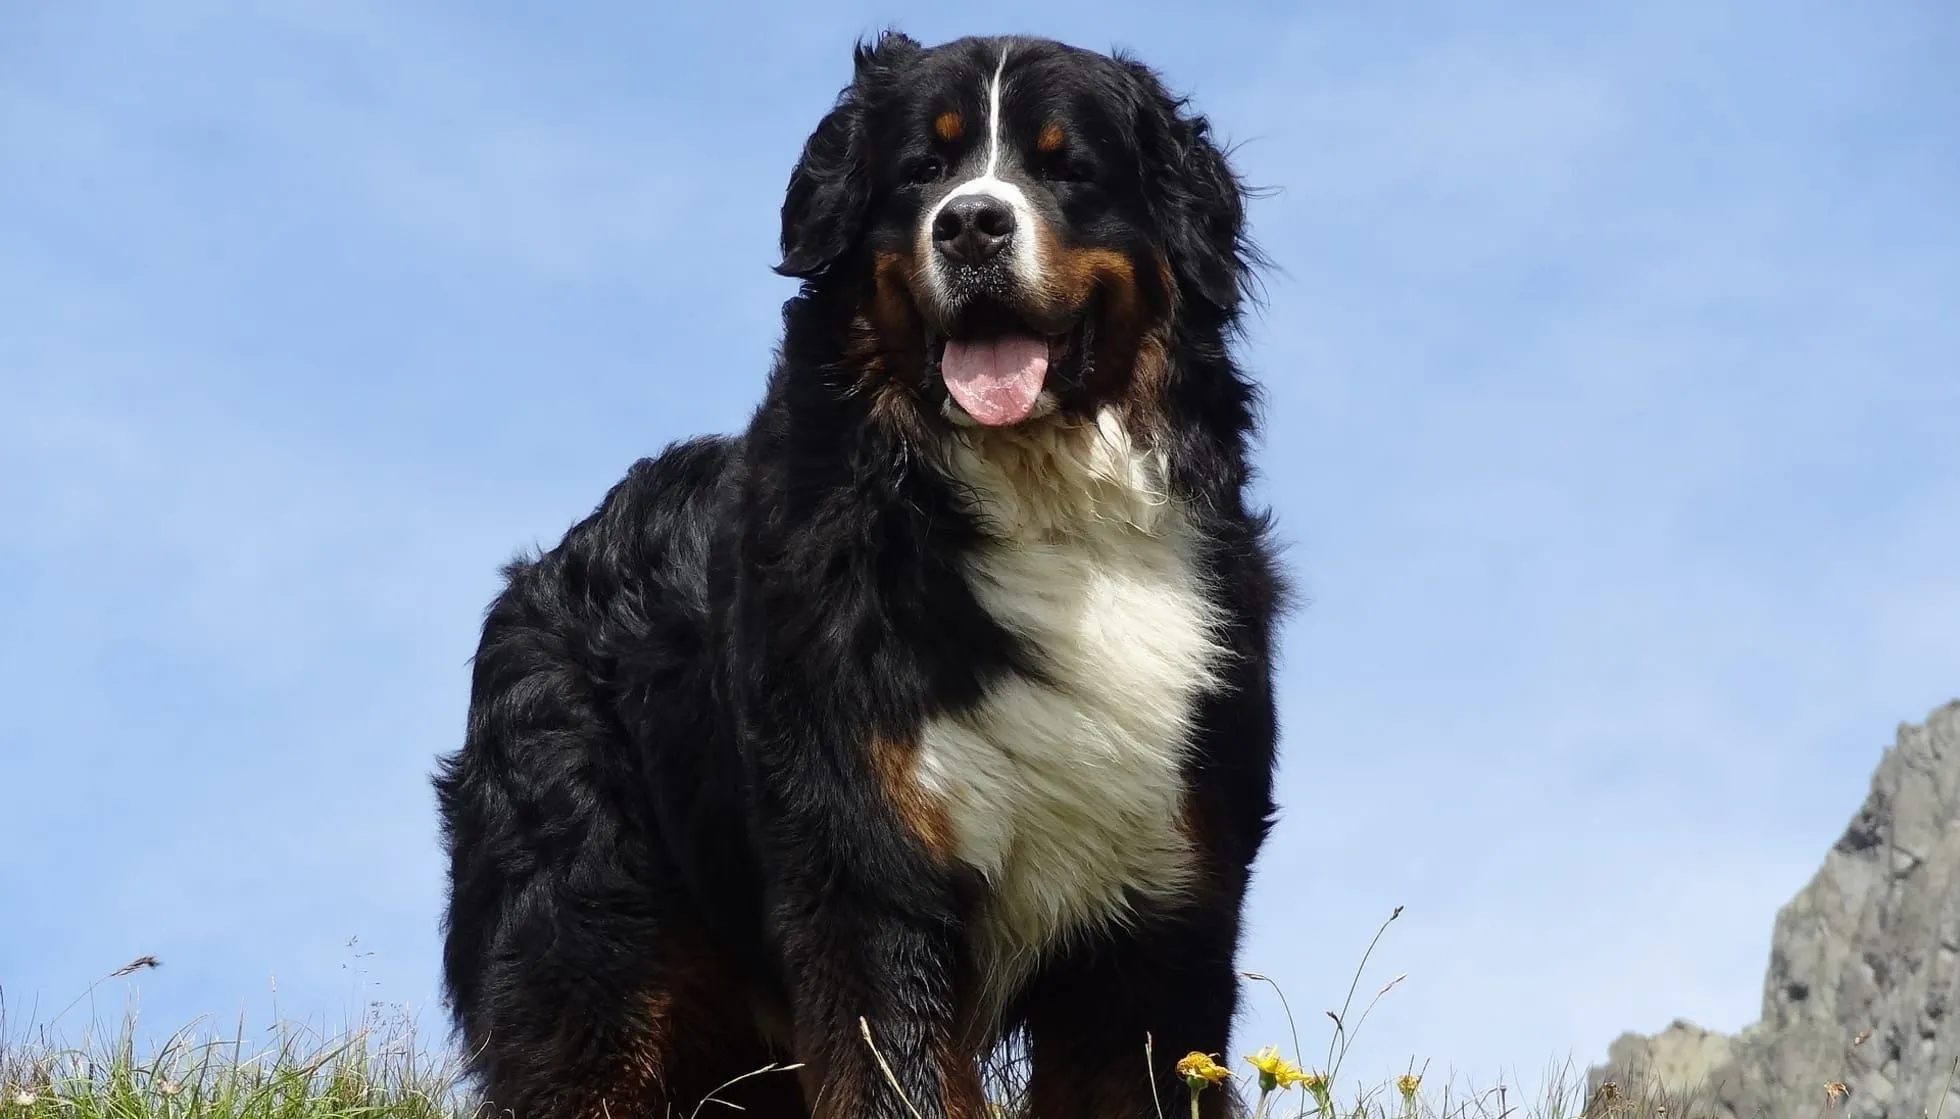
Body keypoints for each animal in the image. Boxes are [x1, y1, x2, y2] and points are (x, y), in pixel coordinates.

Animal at [435, 30, 1285, 1119]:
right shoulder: (869, 866)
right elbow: (896, 1068)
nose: (969, 225)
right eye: (922, 169)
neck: (1042, 509)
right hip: (592, 940)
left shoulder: (1161, 905)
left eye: (1068, 166)